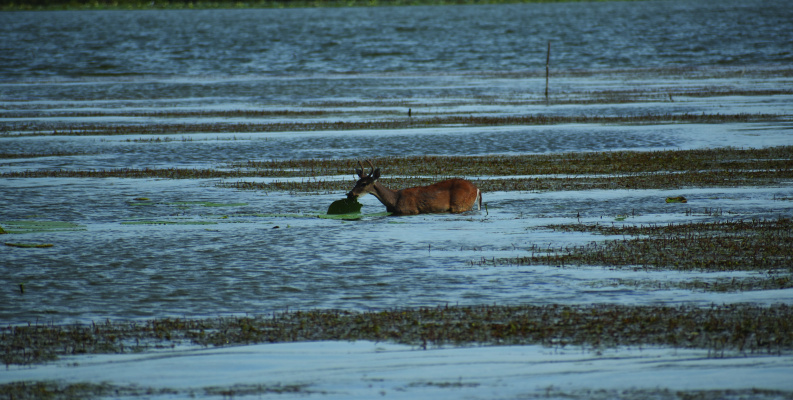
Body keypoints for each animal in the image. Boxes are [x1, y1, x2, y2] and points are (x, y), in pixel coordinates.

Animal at [347, 160, 482, 215]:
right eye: (357, 181)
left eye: (364, 184)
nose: (350, 194)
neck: (394, 200)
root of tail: (477, 189)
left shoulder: (410, 210)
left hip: (461, 204)